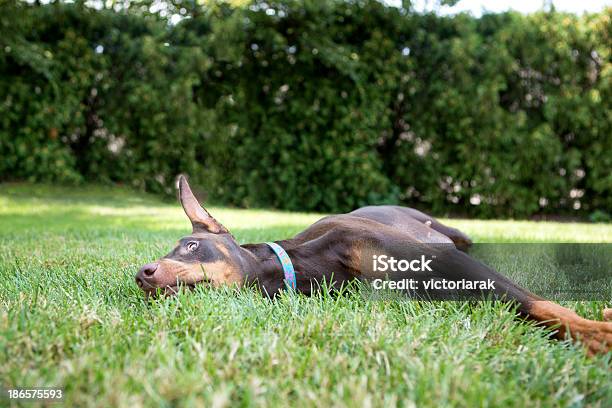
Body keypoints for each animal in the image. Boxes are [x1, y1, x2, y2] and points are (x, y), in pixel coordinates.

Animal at [136, 177, 608, 356]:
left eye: (191, 245)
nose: (141, 274)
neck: (300, 263)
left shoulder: (446, 260)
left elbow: (536, 303)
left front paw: (594, 332)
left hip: (454, 236)